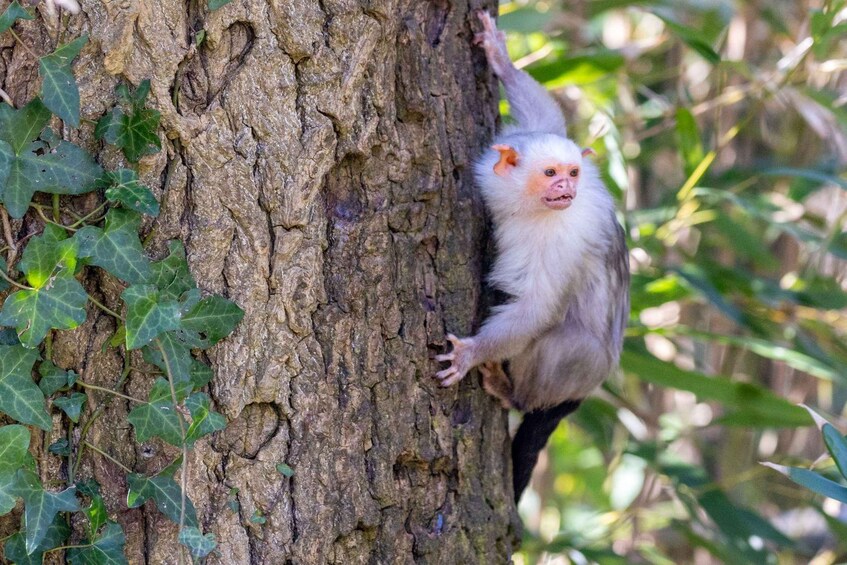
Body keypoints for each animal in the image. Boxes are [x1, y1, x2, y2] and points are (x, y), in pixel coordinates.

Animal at [435, 11, 630, 502]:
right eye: (551, 172)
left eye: (572, 173)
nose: (566, 189)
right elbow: (549, 115)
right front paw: (501, 60)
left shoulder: (553, 239)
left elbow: (538, 308)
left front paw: (472, 354)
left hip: (579, 370)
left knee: (562, 343)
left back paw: (512, 393)